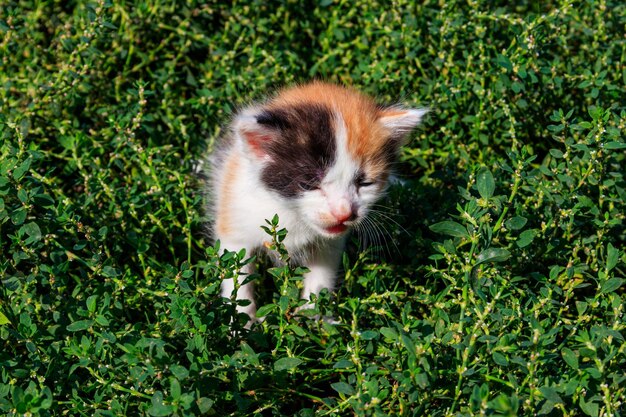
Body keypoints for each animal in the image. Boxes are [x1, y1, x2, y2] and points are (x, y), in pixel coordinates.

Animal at [207, 79, 426, 324]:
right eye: (309, 184)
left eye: (364, 183)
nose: (344, 213)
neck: (290, 213)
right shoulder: (235, 219)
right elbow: (237, 275)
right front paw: (241, 324)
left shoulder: (329, 244)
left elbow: (321, 277)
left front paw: (316, 319)